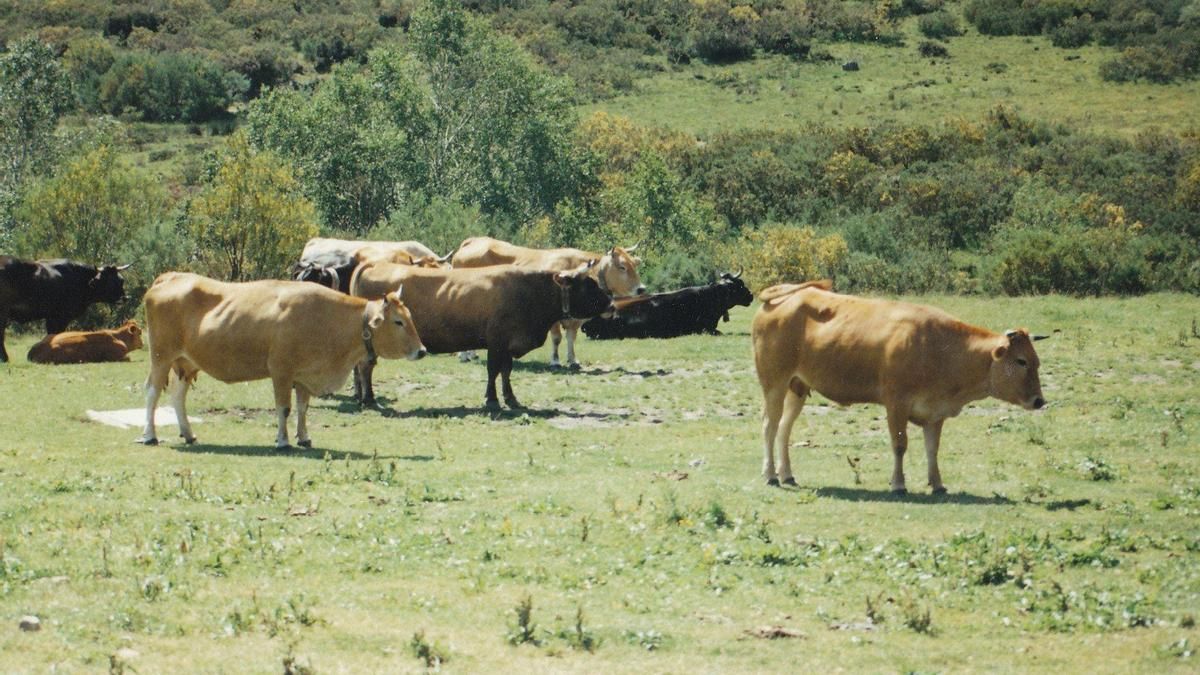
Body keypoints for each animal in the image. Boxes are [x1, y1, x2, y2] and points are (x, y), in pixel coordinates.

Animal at [0, 256, 130, 362]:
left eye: (121, 280)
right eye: (109, 282)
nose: (125, 298)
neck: (79, 278)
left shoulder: (51, 318)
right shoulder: (60, 318)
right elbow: (57, 334)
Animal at [138, 272, 426, 449]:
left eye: (410, 316)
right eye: (398, 322)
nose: (422, 350)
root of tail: (171, 276)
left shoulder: (304, 375)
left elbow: (302, 408)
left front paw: (304, 437)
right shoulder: (281, 371)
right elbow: (284, 408)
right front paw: (283, 440)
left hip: (186, 362)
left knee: (178, 396)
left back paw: (188, 433)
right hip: (161, 357)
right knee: (152, 392)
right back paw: (149, 435)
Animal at [350, 260, 613, 409]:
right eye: (589, 284)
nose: (611, 303)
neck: (530, 291)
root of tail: (374, 264)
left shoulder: (507, 345)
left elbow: (506, 371)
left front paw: (510, 398)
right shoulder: (497, 342)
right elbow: (493, 370)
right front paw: (492, 399)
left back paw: (359, 395)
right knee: (366, 367)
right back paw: (369, 398)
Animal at [449, 236, 645, 368]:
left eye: (635, 265)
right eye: (622, 267)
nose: (641, 289)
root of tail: (473, 241)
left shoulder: (574, 319)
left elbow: (571, 337)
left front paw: (573, 360)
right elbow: (557, 338)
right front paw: (556, 361)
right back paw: (464, 355)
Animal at [751, 279, 1046, 493]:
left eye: (1036, 361)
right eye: (1020, 361)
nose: (1039, 401)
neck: (940, 348)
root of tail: (784, 294)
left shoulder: (935, 412)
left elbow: (932, 448)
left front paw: (937, 484)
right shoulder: (896, 404)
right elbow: (899, 444)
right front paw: (898, 483)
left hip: (797, 386)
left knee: (784, 428)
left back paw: (787, 474)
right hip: (775, 383)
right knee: (769, 425)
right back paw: (770, 475)